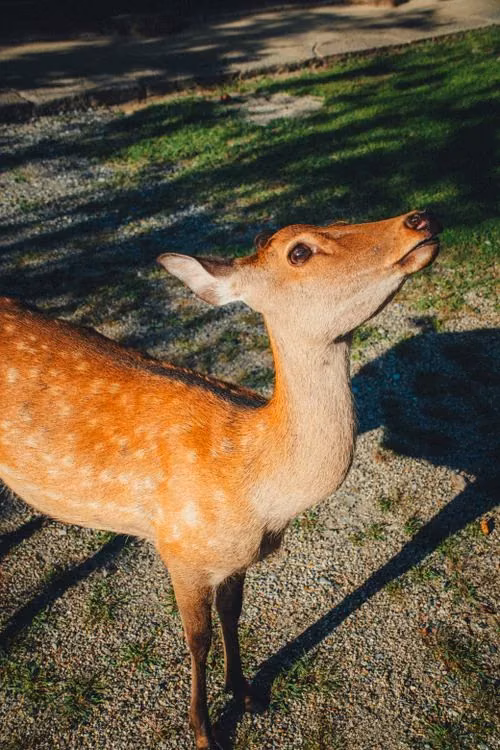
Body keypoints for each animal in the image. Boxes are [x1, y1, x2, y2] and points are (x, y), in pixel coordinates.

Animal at [0, 210, 441, 748]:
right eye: (299, 251)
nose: (419, 219)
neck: (258, 495)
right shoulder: (181, 548)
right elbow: (198, 639)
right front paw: (204, 730)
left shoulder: (235, 559)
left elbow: (233, 615)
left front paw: (246, 691)